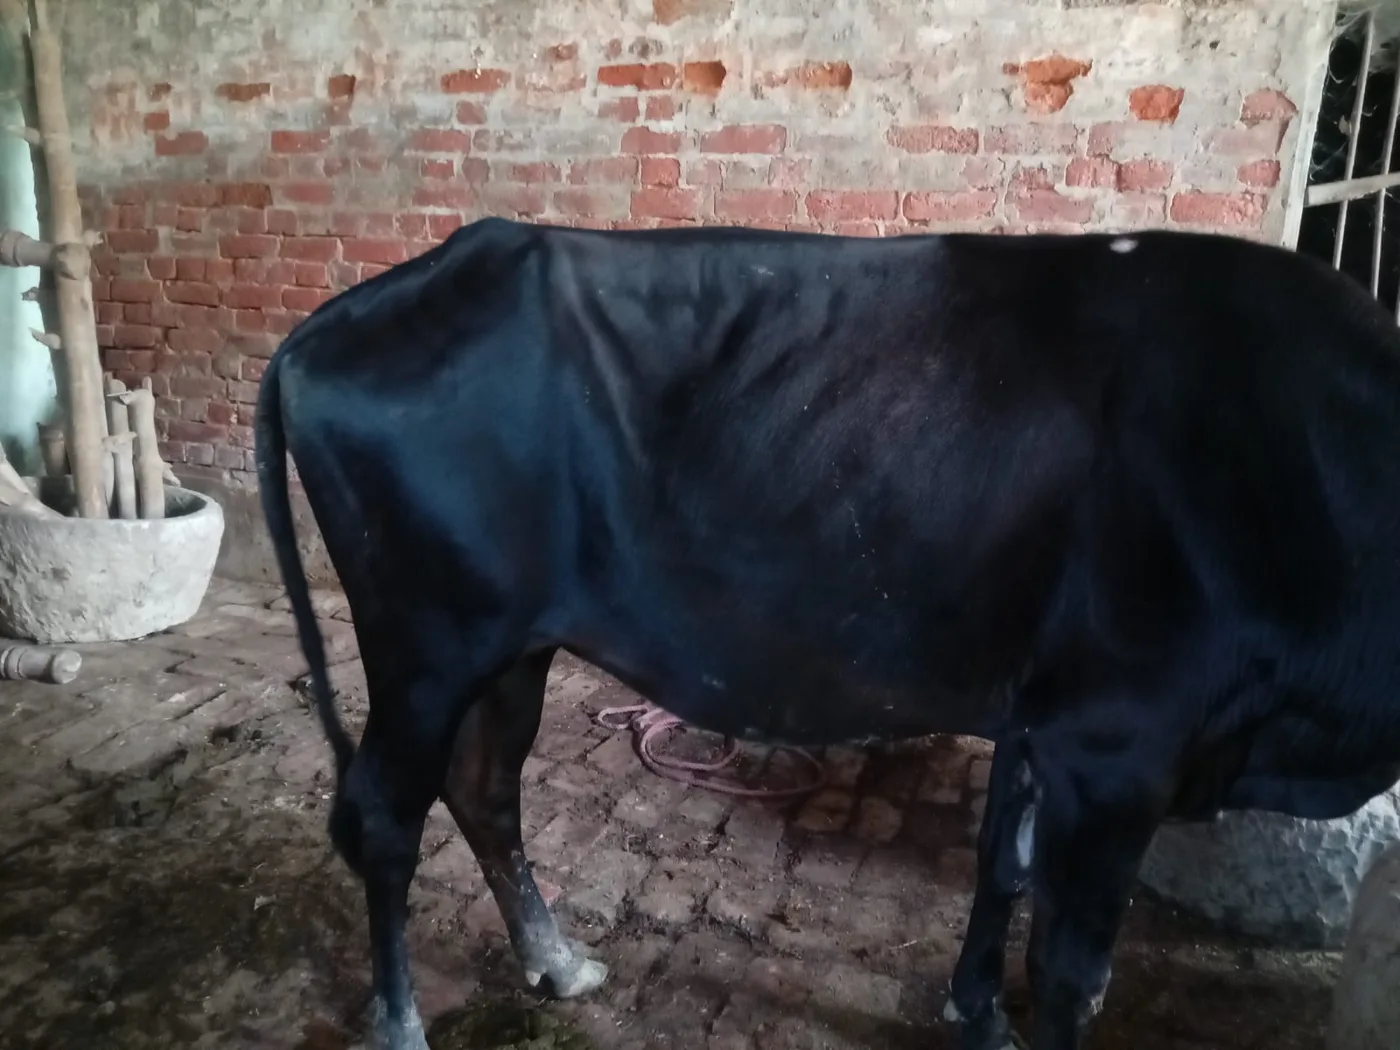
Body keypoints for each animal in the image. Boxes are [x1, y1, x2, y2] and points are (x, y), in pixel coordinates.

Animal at [254, 216, 1400, 1050]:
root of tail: (337, 320)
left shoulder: (1043, 720)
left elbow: (1001, 866)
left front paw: (973, 1014)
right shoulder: (1119, 747)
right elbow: (1074, 973)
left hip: (507, 647)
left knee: (485, 791)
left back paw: (559, 960)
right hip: (423, 644)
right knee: (385, 816)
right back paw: (401, 1024)